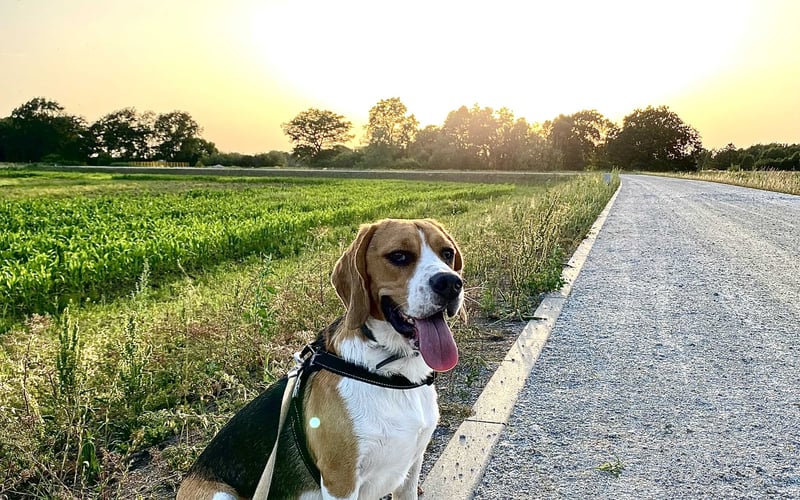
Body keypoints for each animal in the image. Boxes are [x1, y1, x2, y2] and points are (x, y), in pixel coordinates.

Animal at [175, 219, 462, 500]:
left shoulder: (410, 468)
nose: (451, 283)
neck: (390, 369)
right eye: (399, 256)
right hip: (220, 494)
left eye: (447, 254)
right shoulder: (340, 481)